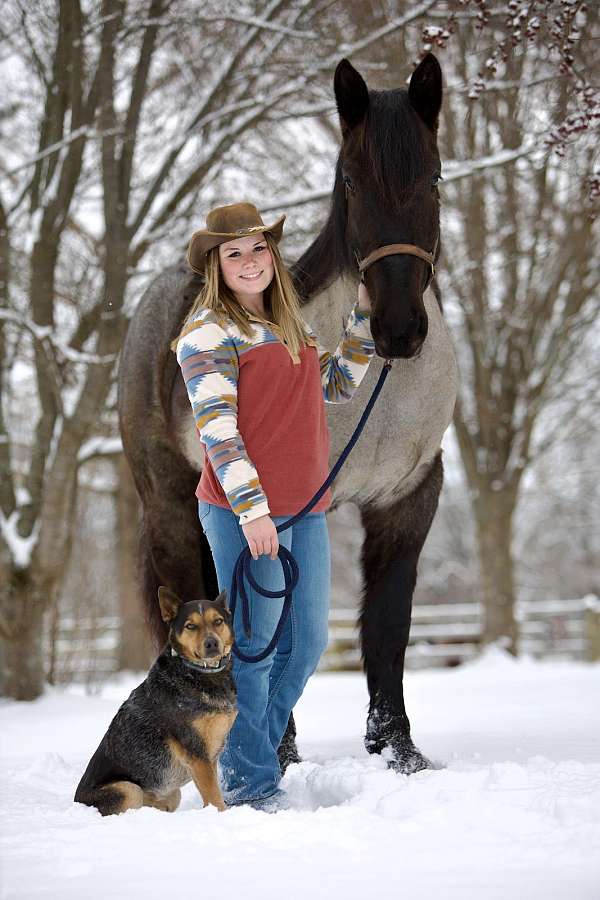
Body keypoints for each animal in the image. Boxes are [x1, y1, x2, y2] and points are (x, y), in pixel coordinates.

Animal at [73, 588, 237, 820]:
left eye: (218, 621)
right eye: (191, 626)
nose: (212, 643)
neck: (198, 672)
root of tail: (76, 801)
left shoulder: (209, 758)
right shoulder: (197, 755)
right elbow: (214, 798)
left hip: (171, 795)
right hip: (128, 789)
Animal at [116, 54, 454, 772]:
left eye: (435, 176)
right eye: (351, 180)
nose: (398, 329)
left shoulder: (407, 499)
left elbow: (386, 626)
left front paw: (398, 751)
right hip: (169, 502)